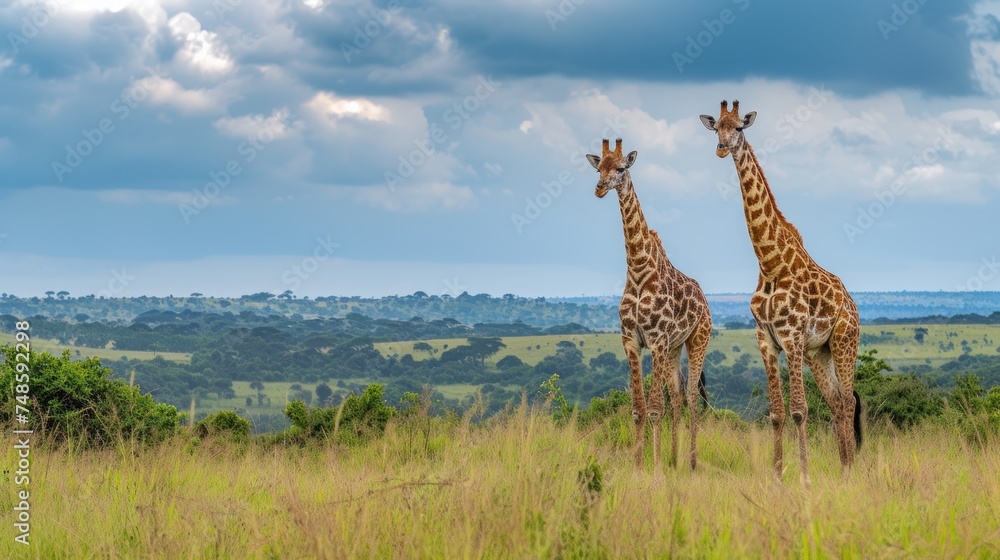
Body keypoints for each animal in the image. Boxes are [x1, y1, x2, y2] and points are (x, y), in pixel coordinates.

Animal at [587, 138, 712, 471]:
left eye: (621, 168)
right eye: (598, 168)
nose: (600, 188)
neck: (638, 270)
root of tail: (705, 300)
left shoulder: (655, 341)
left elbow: (655, 408)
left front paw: (654, 471)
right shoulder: (631, 341)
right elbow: (638, 409)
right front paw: (639, 466)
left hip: (698, 339)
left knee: (692, 398)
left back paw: (691, 463)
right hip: (673, 348)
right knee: (678, 396)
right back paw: (674, 459)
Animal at [699, 100, 862, 484]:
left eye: (739, 128)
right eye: (716, 129)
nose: (722, 148)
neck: (769, 263)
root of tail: (853, 304)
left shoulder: (792, 337)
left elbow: (800, 409)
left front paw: (803, 477)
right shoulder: (766, 340)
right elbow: (776, 412)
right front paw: (776, 477)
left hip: (845, 341)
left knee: (848, 402)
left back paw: (851, 472)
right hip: (820, 353)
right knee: (836, 402)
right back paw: (844, 468)